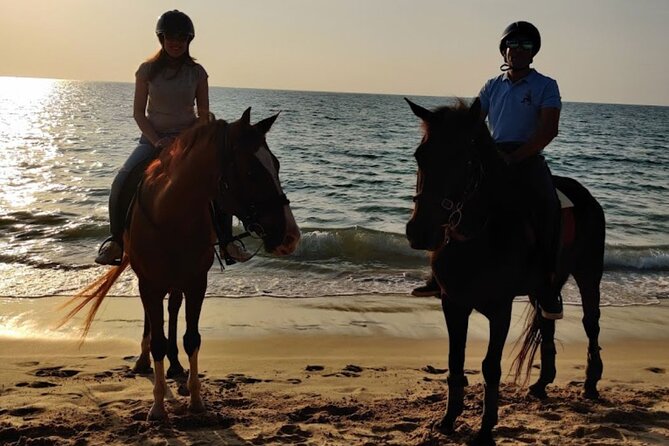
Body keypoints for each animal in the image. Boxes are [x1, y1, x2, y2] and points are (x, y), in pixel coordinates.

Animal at [60, 109, 300, 422]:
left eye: (277, 165)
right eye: (251, 172)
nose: (290, 237)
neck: (172, 214)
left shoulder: (197, 283)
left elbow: (192, 338)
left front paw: (196, 400)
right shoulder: (149, 283)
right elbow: (158, 339)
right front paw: (158, 406)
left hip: (178, 281)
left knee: (173, 310)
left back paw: (174, 364)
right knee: (152, 320)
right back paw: (143, 359)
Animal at [402, 97, 604, 442]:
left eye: (464, 159)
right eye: (420, 155)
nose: (419, 233)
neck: (478, 234)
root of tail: (586, 196)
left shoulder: (500, 309)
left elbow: (489, 366)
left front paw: (485, 428)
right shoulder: (453, 303)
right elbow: (455, 360)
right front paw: (448, 419)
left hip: (589, 273)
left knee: (591, 323)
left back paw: (591, 383)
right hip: (543, 288)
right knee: (547, 322)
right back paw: (541, 384)